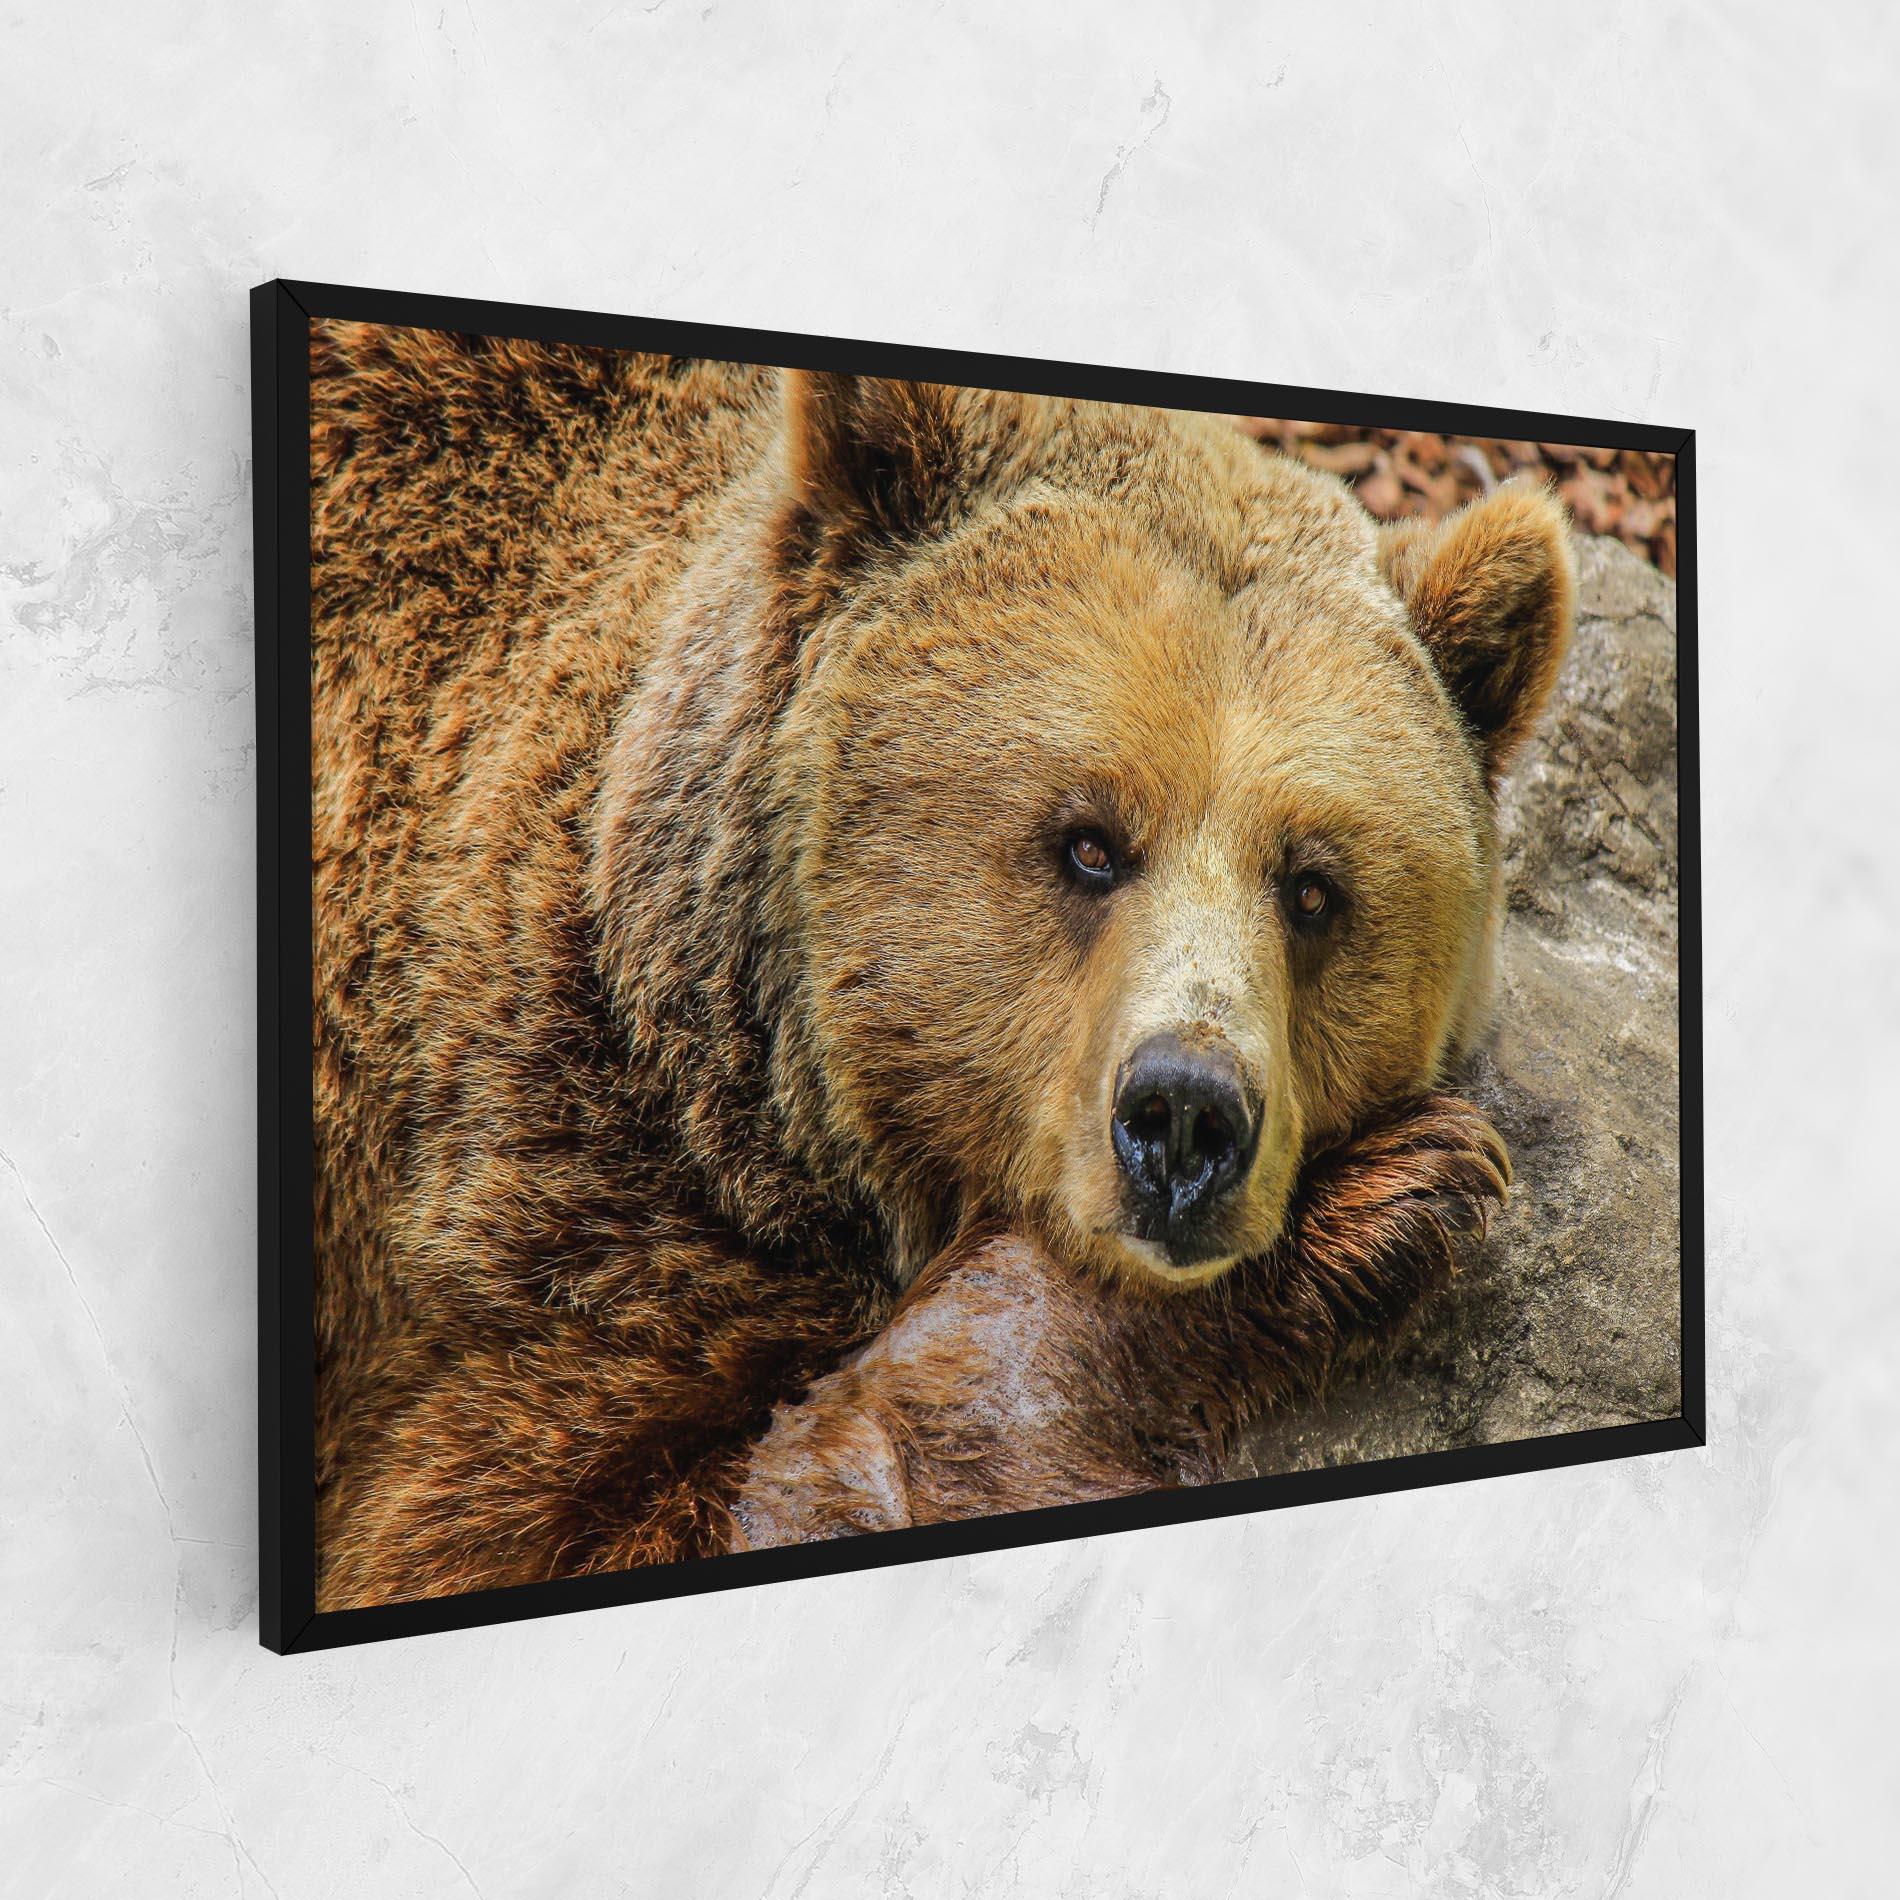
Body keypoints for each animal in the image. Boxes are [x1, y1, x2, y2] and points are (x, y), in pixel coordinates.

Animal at [305, 322, 1572, 1609]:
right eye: (1087, 841)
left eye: (1312, 887)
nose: (1185, 1119)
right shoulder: (533, 1199)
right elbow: (525, 1521)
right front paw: (1381, 1198)